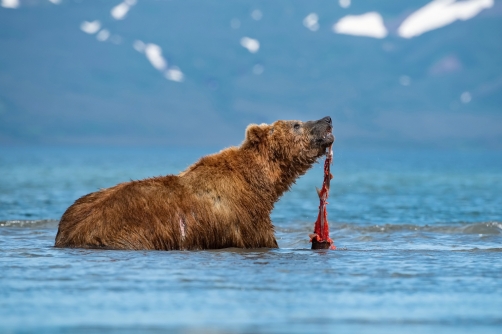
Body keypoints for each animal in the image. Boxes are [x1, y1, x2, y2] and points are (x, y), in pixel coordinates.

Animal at [54, 117, 334, 250]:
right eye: (297, 124)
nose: (327, 119)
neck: (258, 183)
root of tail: (69, 233)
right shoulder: (246, 219)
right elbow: (263, 240)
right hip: (129, 234)